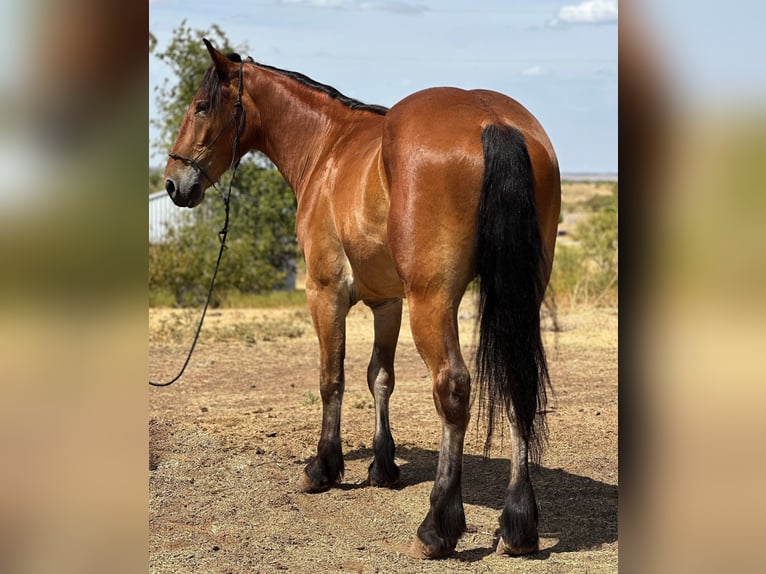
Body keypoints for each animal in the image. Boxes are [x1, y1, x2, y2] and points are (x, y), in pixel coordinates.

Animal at [165, 41, 560, 564]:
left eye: (201, 106)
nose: (174, 184)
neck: (329, 148)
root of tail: (493, 121)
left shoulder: (325, 291)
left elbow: (331, 378)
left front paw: (323, 466)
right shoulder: (387, 302)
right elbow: (380, 378)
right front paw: (383, 465)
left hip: (433, 302)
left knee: (452, 389)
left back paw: (437, 526)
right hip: (518, 297)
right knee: (518, 382)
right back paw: (519, 524)